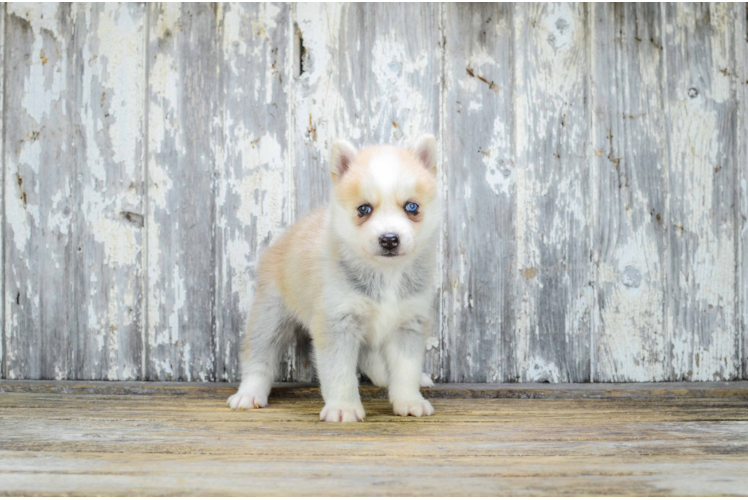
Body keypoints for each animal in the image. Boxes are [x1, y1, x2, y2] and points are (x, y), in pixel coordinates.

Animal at [226, 134, 438, 422]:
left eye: (412, 207)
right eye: (364, 209)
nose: (389, 239)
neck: (384, 274)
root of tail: (286, 236)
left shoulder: (408, 324)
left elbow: (406, 369)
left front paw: (409, 400)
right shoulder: (336, 323)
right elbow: (340, 372)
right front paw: (343, 407)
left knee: (371, 358)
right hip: (269, 318)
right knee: (259, 358)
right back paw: (249, 393)